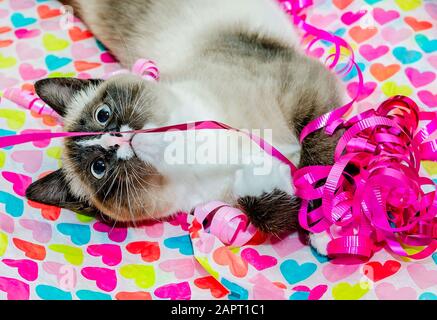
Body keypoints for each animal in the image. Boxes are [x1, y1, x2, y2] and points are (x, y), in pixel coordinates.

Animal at [26, 0, 344, 255]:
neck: (201, 153)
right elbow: (271, 212)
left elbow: (320, 161)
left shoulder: (305, 92)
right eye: (99, 168)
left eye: (102, 115)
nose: (118, 139)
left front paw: (327, 228)